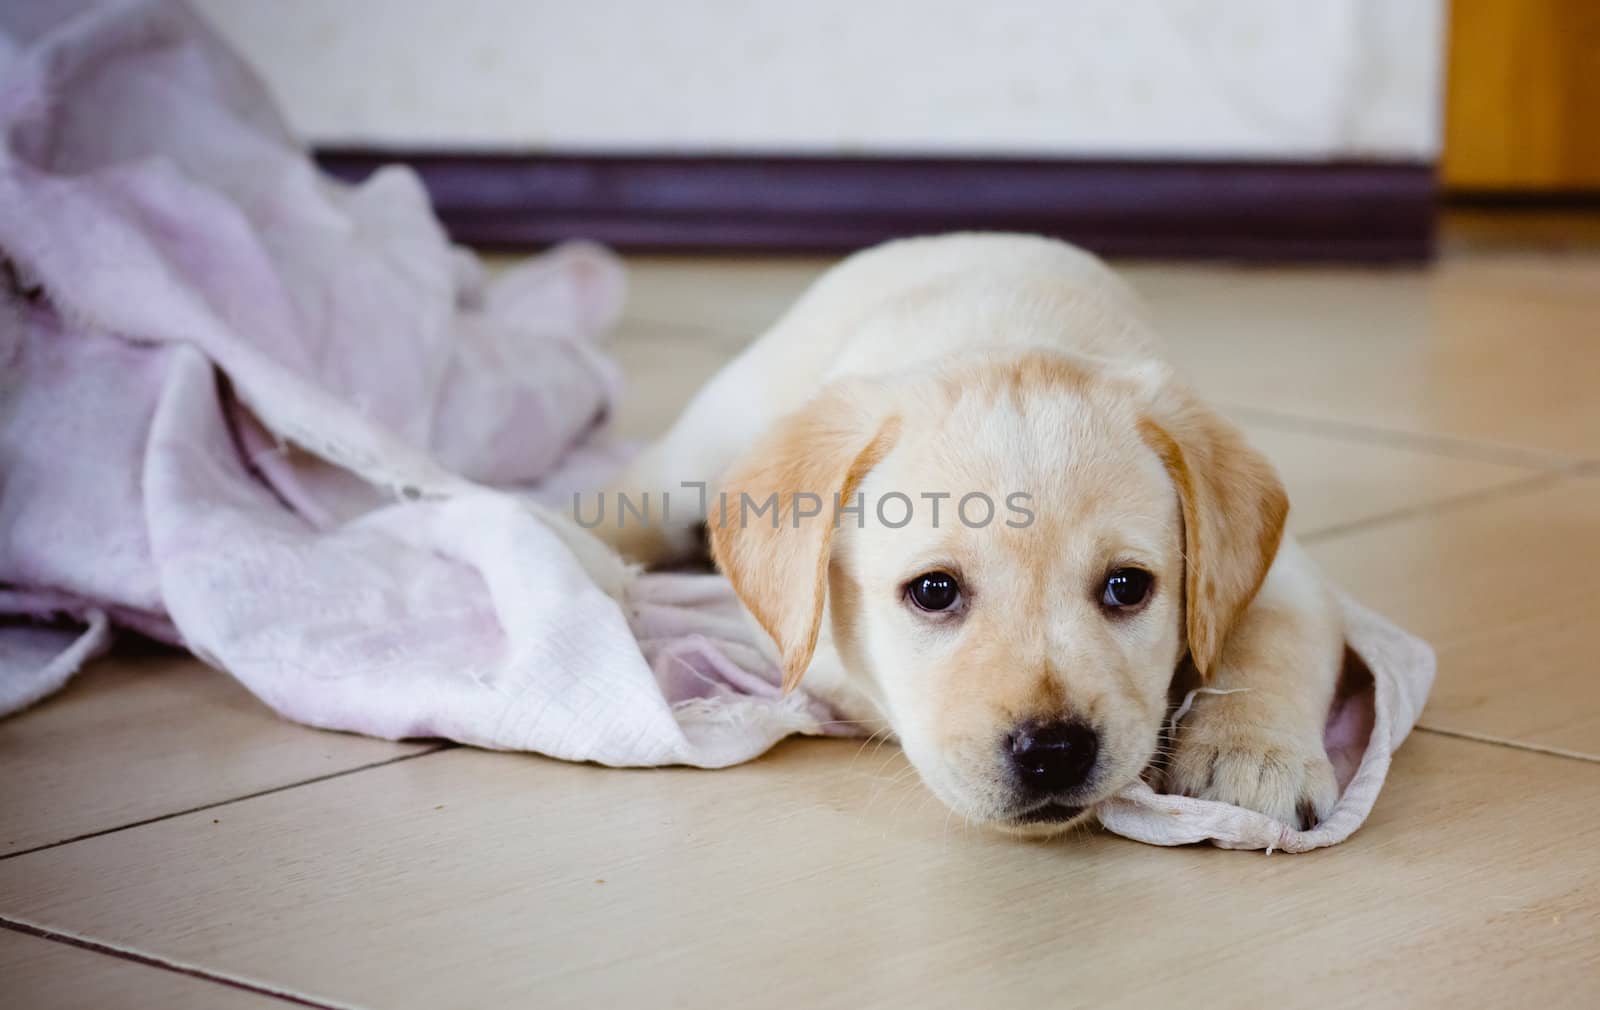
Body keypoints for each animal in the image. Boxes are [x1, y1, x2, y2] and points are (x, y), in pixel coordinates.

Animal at [595, 236, 1344, 838]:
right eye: (934, 591)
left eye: (1128, 586)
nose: (1054, 752)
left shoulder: (1283, 570)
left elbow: (1273, 633)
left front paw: (1253, 753)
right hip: (697, 454)